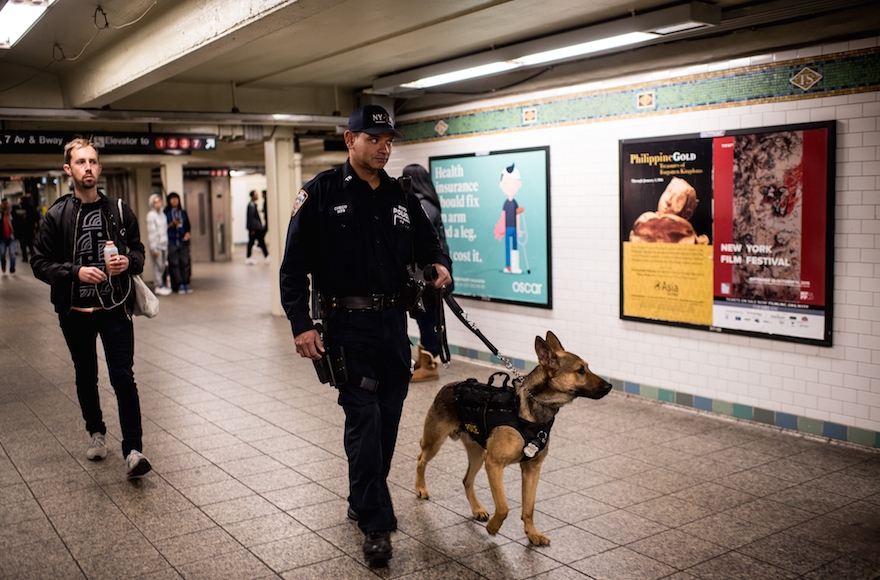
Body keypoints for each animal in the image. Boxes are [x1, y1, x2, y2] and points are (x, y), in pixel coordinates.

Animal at [414, 334, 612, 548]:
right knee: (421, 460)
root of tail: (450, 386)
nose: (609, 386)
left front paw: (531, 533)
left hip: (478, 455)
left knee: (466, 480)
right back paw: (421, 488)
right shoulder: (494, 464)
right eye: (580, 370)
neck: (533, 411)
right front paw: (493, 527)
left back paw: (476, 508)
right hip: (436, 442)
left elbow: (529, 508)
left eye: (587, 367)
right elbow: (503, 507)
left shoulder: (532, 469)